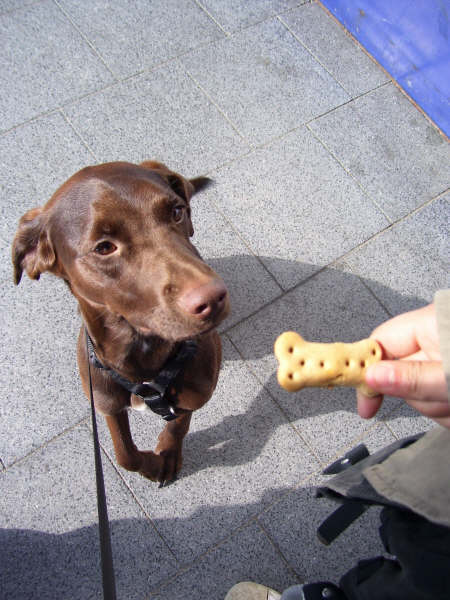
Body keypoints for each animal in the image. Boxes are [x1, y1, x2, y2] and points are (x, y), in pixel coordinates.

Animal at [12, 162, 230, 486]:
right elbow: (124, 454)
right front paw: (150, 465)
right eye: (104, 248)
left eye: (177, 211)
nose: (213, 298)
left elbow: (178, 425)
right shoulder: (106, 402)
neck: (142, 356)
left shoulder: (195, 395)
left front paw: (167, 455)